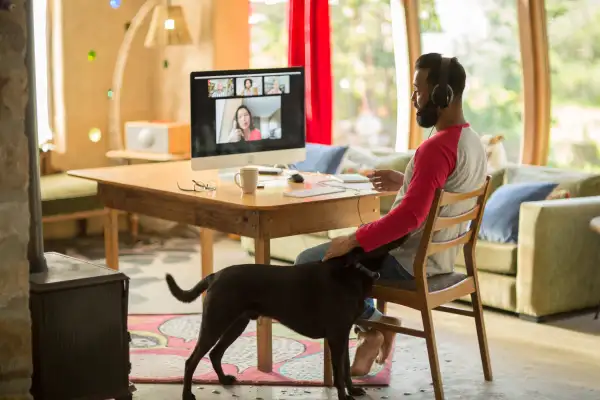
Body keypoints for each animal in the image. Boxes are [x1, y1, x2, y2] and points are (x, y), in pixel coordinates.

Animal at [166, 236, 406, 398]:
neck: (354, 270)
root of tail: (214, 275)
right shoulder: (337, 335)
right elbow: (339, 372)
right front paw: (344, 397)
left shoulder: (343, 334)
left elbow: (346, 368)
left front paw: (353, 390)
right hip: (215, 323)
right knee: (192, 360)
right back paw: (187, 394)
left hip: (236, 324)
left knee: (215, 354)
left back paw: (224, 380)